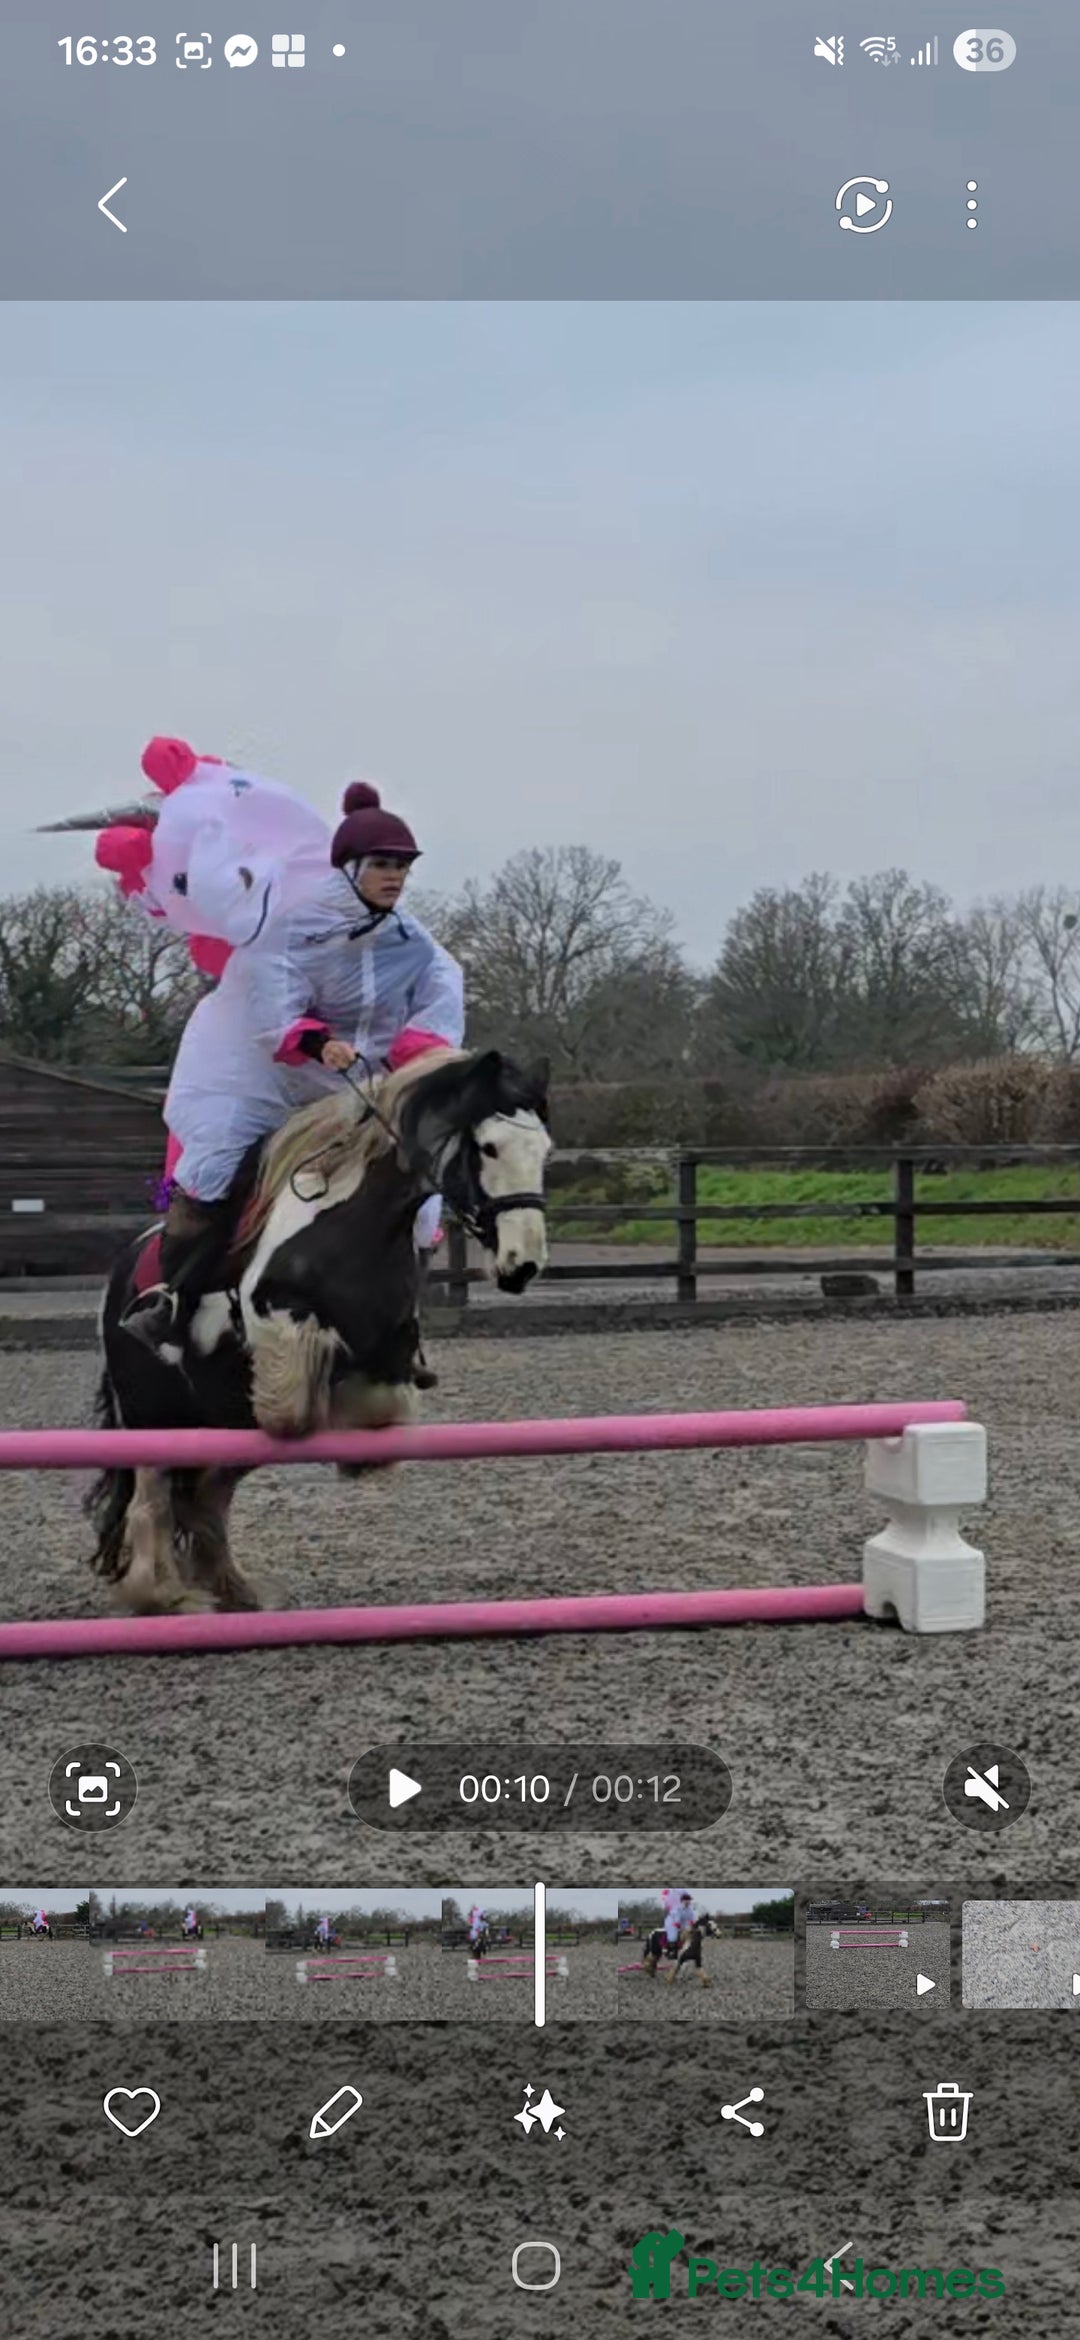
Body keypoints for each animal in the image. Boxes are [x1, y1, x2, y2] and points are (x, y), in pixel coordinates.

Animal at [85, 1045, 551, 1616]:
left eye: (544, 1151)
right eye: (488, 1148)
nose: (522, 1265)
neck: (356, 1224)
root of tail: (121, 1273)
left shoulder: (389, 1346)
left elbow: (379, 1404)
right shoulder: (273, 1313)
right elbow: (292, 1403)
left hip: (224, 1420)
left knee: (206, 1498)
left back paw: (236, 1591)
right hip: (152, 1416)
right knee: (153, 1501)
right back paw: (164, 1596)